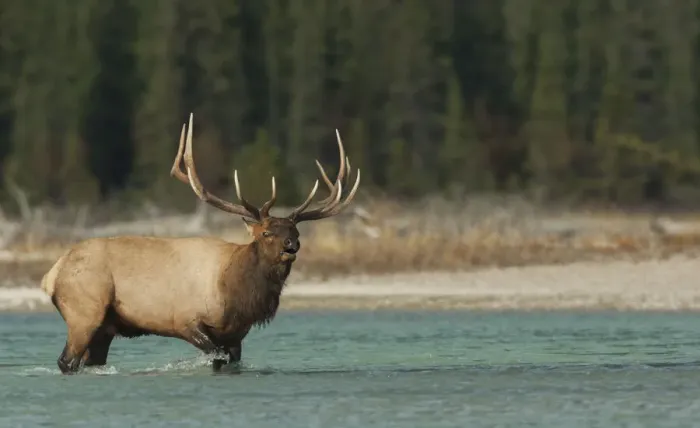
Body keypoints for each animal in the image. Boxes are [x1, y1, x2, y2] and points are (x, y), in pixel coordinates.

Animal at [40, 113, 360, 374]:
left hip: (104, 327)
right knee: (67, 360)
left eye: (295, 230)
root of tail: (52, 274)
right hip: (84, 311)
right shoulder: (185, 320)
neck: (236, 295)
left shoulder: (236, 336)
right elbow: (214, 355)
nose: (291, 246)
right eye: (266, 232)